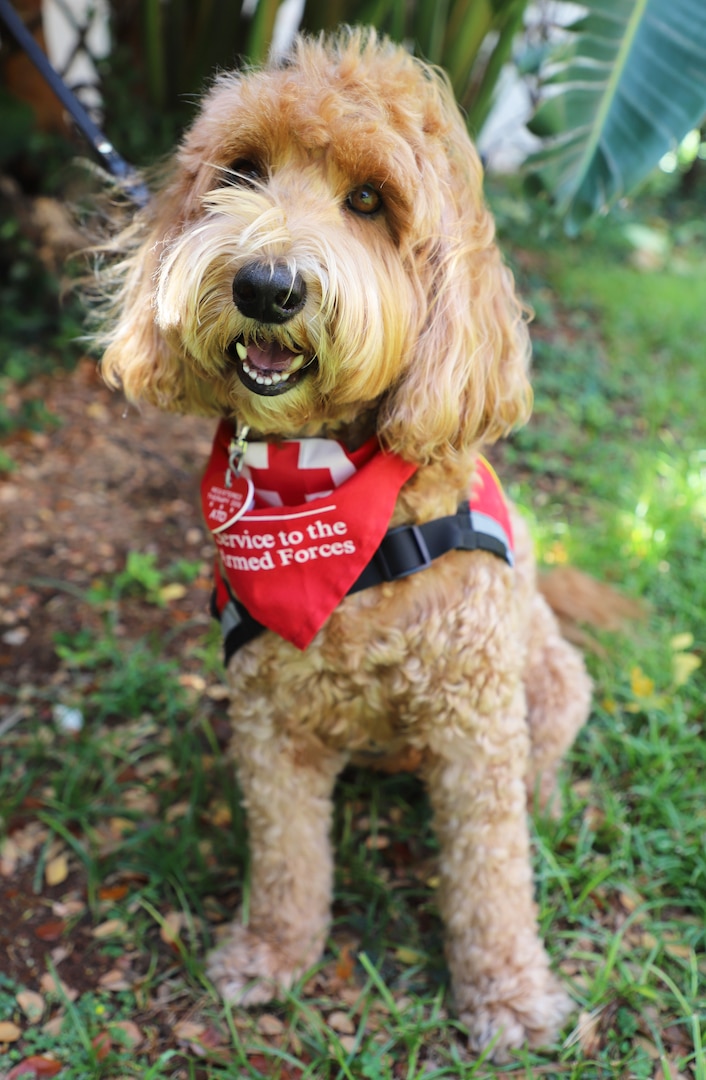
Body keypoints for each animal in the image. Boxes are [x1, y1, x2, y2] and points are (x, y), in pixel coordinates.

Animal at [91, 29, 595, 1058]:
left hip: (555, 684)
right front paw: (270, 953)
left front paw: (510, 994)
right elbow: (287, 854)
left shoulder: (476, 730)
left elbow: (492, 875)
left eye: (369, 200)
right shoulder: (269, 723)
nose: (265, 286)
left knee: (542, 768)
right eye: (241, 173)